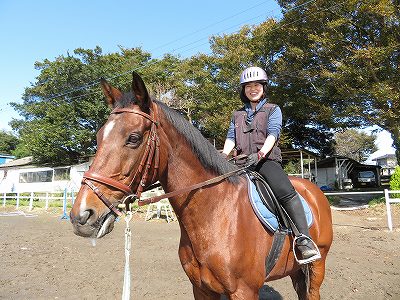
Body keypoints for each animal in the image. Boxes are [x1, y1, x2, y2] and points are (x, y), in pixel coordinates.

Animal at [70, 71, 332, 298]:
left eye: (133, 138)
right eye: (99, 136)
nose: (81, 215)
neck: (215, 214)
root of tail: (312, 190)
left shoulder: (244, 291)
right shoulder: (202, 289)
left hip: (317, 267)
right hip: (296, 271)